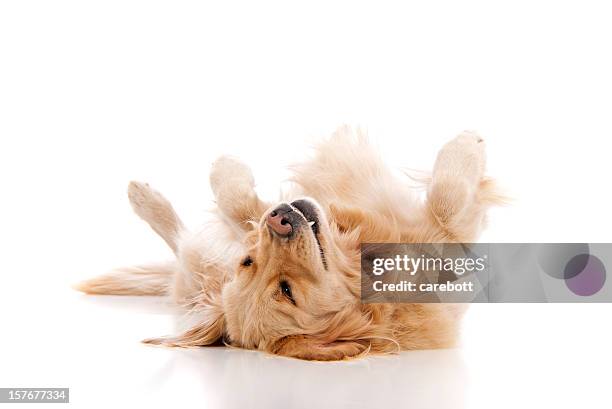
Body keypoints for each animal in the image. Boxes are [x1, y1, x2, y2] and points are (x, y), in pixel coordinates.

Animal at [76, 126, 502, 358]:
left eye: (247, 262)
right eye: (287, 291)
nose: (280, 221)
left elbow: (237, 203)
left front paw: (225, 168)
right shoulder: (448, 241)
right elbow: (448, 198)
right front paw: (468, 145)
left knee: (186, 244)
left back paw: (144, 196)